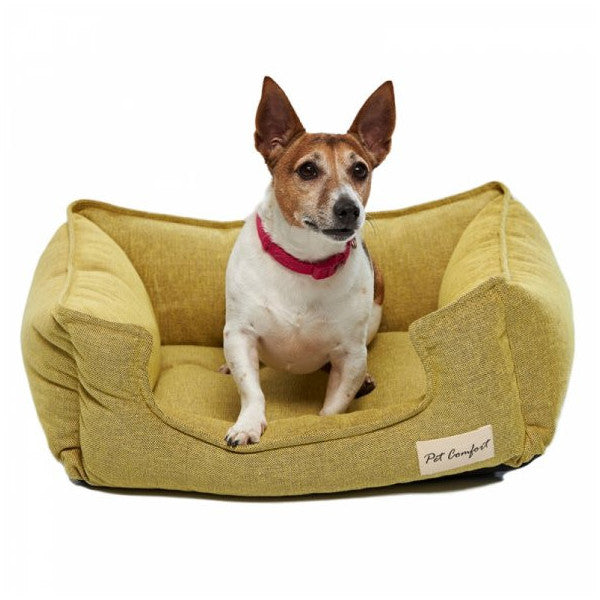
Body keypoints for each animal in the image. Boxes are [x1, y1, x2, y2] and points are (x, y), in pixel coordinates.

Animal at [221, 76, 395, 446]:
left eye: (360, 170)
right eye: (308, 170)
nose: (349, 208)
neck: (305, 261)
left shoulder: (351, 355)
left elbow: (334, 406)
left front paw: (325, 429)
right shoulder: (240, 336)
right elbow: (251, 390)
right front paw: (247, 424)